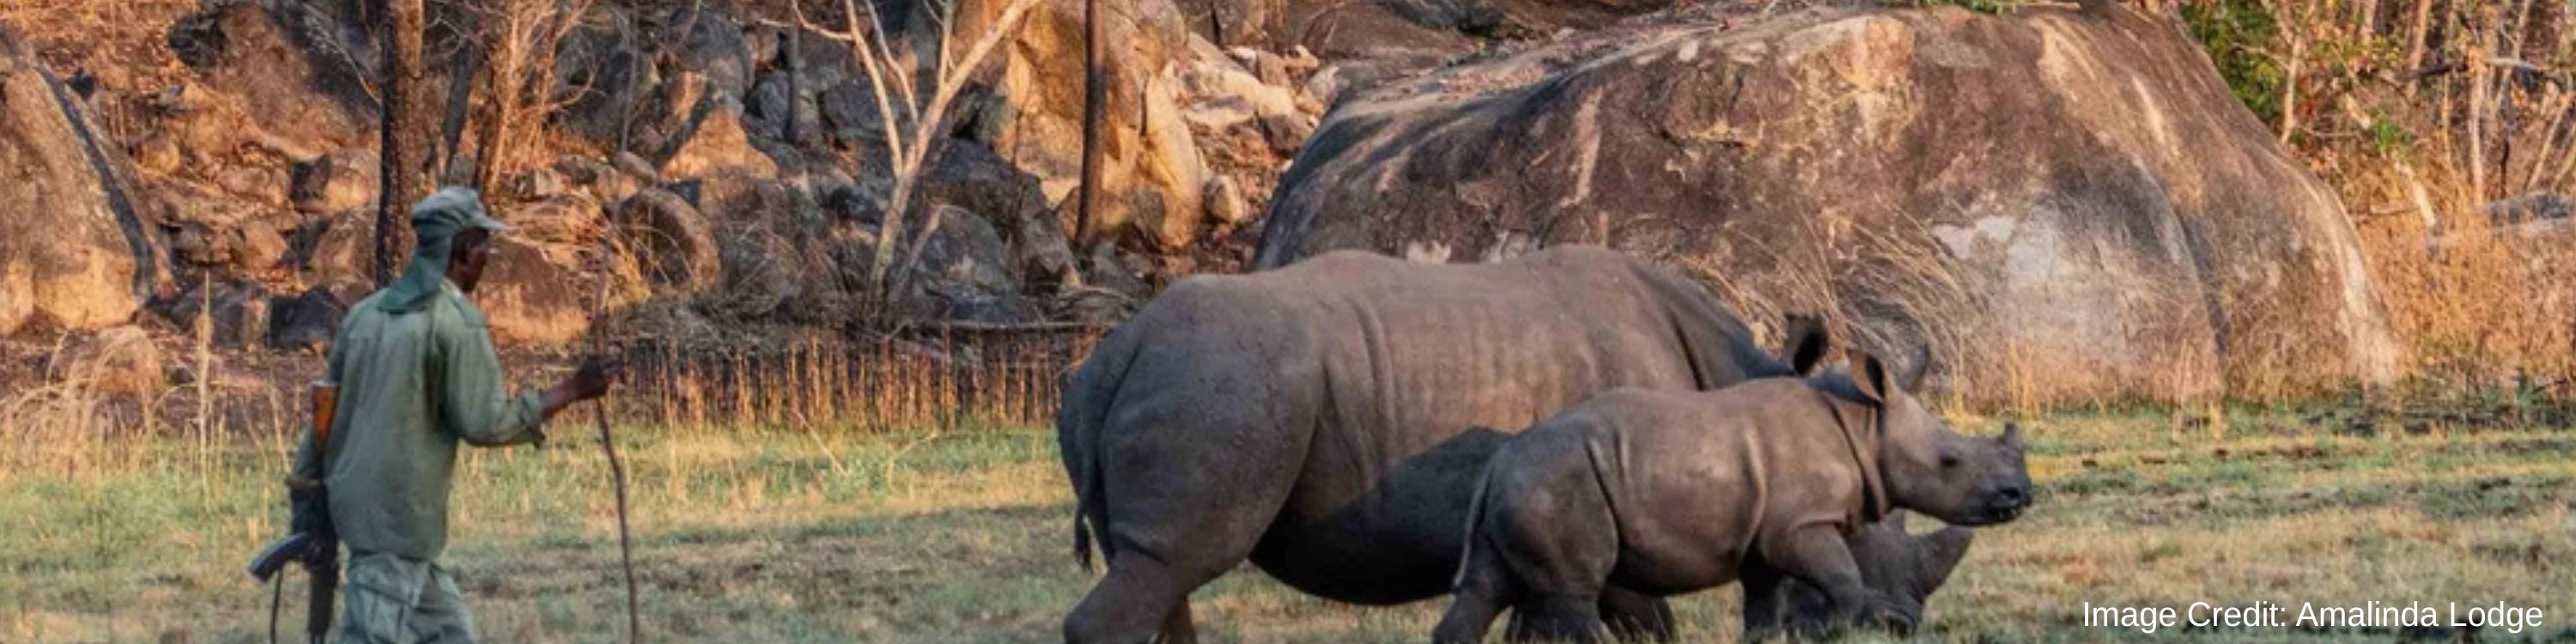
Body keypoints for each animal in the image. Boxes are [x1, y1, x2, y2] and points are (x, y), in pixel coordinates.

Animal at [1057, 246, 1829, 643]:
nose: (1836, 629)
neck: (1733, 385)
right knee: (1176, 560)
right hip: (1221, 384)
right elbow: (1649, 623)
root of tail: (1121, 348)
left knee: (1160, 572)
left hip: (1189, 381)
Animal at [1433, 352, 2032, 643]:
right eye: (1949, 462)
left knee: (1487, 587)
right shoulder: (1802, 524)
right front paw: (1846, 629)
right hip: (1557, 482)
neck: (1865, 426)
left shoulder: (1768, 539)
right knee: (1572, 594)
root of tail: (1496, 465)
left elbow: (1765, 609)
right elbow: (1841, 578)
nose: (2020, 494)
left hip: (1525, 486)